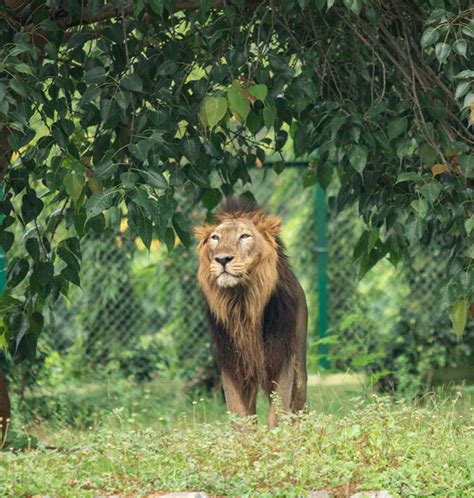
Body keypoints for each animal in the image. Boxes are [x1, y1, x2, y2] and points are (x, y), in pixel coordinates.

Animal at [195, 196, 310, 426]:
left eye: (244, 236)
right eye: (215, 238)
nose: (222, 259)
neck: (243, 302)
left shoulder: (282, 359)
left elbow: (278, 411)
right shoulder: (232, 363)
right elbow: (240, 415)